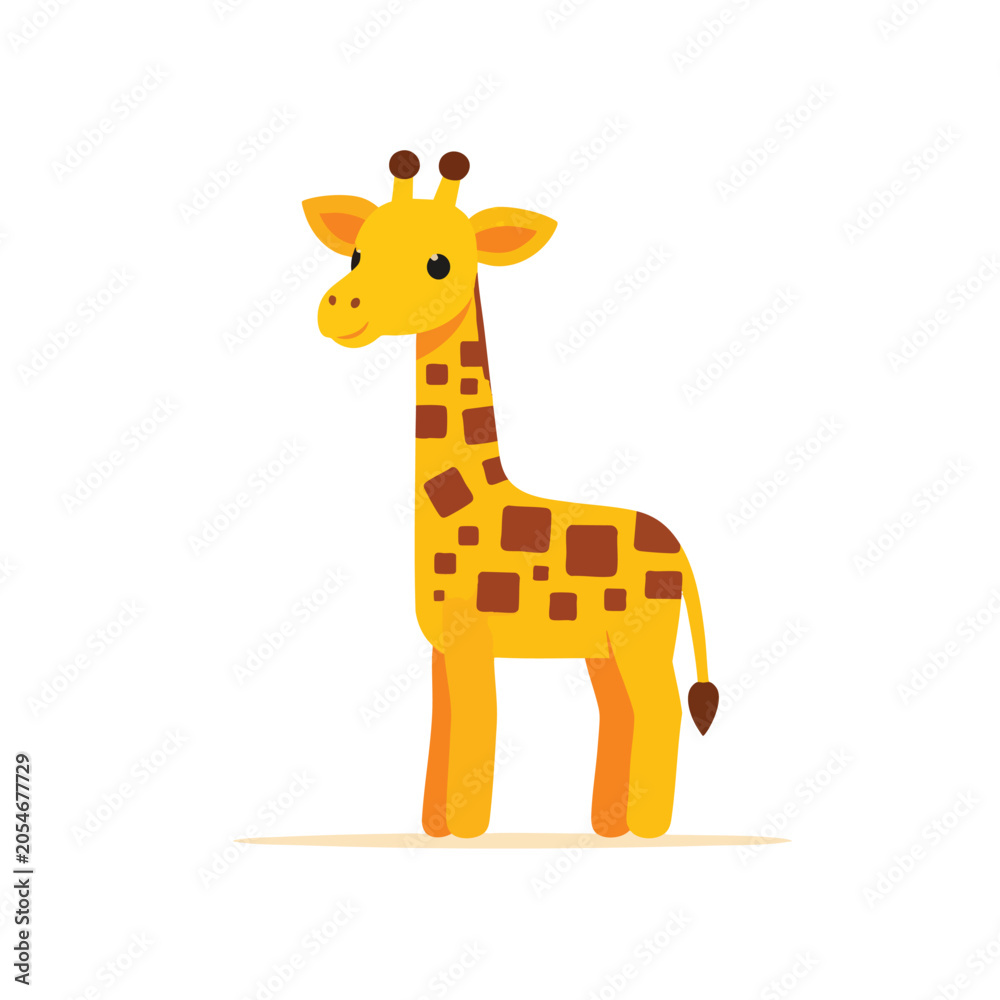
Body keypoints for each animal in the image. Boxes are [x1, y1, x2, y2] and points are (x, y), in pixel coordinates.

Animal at [302, 150, 719, 840]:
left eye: (438, 262)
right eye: (356, 253)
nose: (340, 307)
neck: (468, 499)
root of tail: (681, 554)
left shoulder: (475, 639)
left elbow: (479, 724)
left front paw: (468, 834)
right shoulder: (443, 646)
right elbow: (444, 728)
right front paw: (434, 829)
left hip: (644, 638)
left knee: (661, 708)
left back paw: (648, 830)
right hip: (605, 647)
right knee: (622, 711)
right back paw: (608, 825)